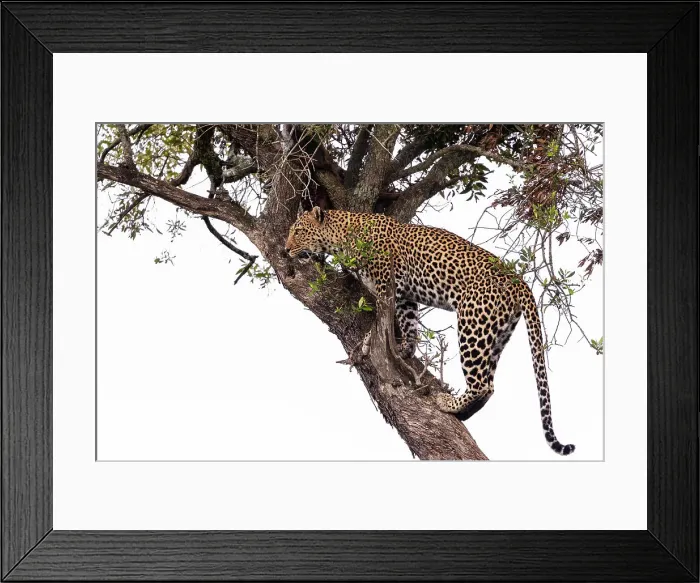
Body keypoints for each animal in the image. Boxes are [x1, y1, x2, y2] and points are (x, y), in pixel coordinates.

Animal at [285, 206, 575, 456]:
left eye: (298, 231)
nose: (286, 249)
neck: (341, 235)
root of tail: (520, 282)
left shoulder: (387, 286)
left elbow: (379, 319)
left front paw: (367, 341)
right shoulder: (404, 297)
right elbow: (408, 323)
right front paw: (404, 348)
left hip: (472, 325)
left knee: (480, 383)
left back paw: (447, 403)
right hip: (496, 332)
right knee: (489, 384)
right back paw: (461, 412)